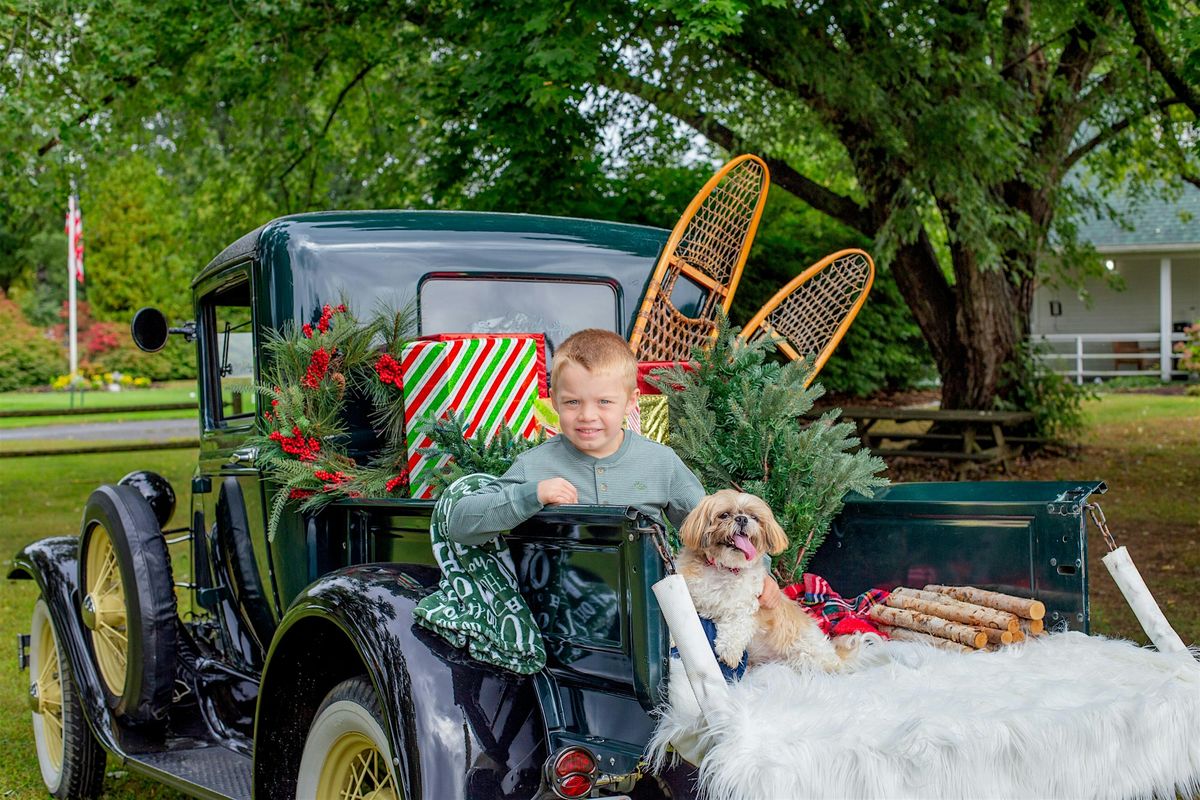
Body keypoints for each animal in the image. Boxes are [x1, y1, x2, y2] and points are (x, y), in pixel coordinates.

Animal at [676, 491, 844, 671]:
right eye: (724, 515)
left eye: (754, 517)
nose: (742, 519)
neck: (725, 568)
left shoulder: (745, 607)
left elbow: (736, 628)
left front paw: (729, 653)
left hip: (806, 658)